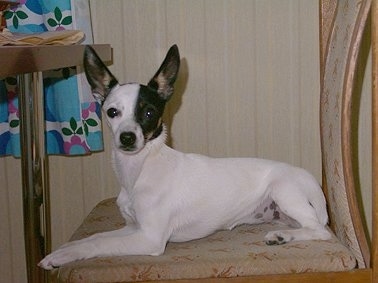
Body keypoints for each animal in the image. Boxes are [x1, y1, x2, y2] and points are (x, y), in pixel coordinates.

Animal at [39, 44, 330, 270]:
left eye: (148, 113)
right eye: (112, 112)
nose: (128, 137)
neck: (140, 169)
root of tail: (309, 178)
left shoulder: (149, 238)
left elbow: (98, 243)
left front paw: (63, 256)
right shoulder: (133, 228)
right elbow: (94, 236)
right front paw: (66, 247)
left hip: (283, 190)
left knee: (320, 231)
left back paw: (281, 236)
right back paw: (283, 235)